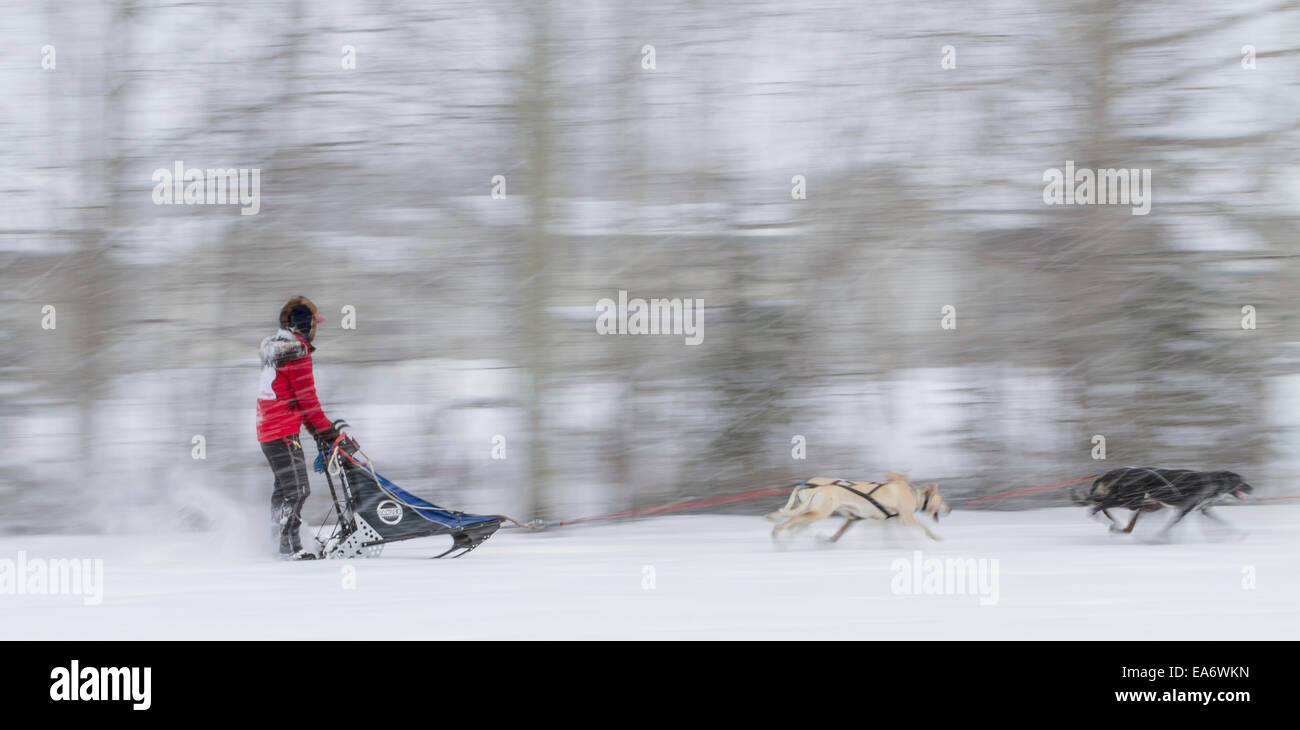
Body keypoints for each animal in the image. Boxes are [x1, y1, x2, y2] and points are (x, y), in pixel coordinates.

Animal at [759, 472, 956, 540]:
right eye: (942, 500)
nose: (950, 509)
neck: (914, 495)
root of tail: (814, 486)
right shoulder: (907, 518)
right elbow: (924, 527)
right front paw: (935, 537)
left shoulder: (871, 520)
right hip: (818, 512)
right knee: (795, 519)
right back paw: (778, 531)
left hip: (813, 511)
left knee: (795, 520)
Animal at [1081, 465, 1253, 535]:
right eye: (1241, 481)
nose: (1252, 488)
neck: (1212, 481)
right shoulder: (1183, 509)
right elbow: (1170, 525)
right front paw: (1161, 536)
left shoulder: (1203, 509)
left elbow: (1221, 521)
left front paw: (1237, 533)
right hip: (1131, 501)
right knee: (1101, 504)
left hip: (1134, 502)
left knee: (1102, 505)